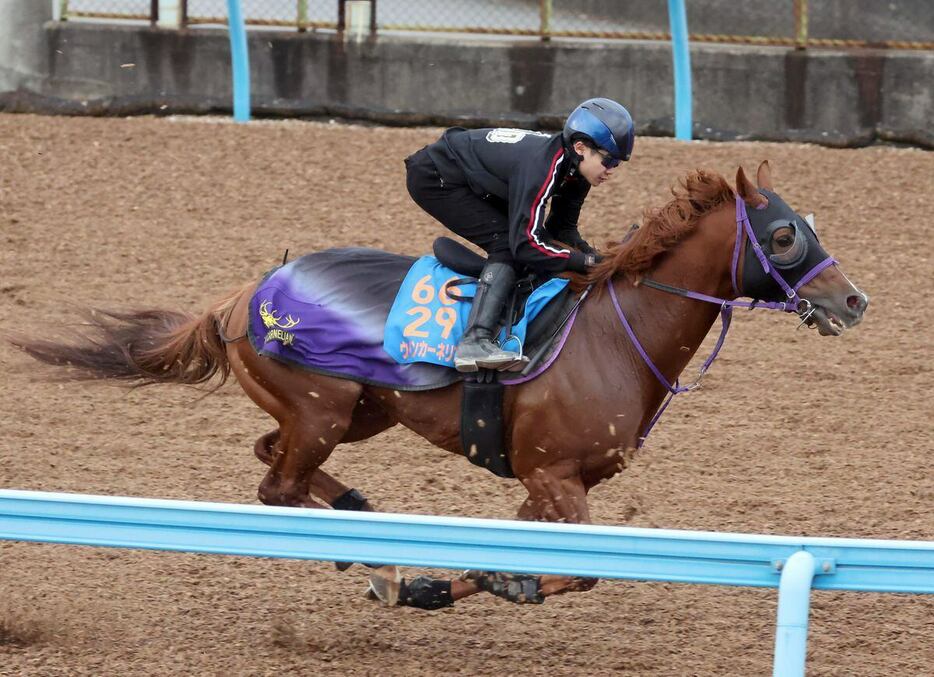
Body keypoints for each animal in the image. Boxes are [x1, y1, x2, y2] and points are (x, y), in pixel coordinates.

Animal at [12, 161, 872, 608]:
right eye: (785, 234)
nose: (853, 300)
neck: (614, 332)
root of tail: (244, 295)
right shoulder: (555, 475)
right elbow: (579, 569)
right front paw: (474, 581)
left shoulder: (550, 481)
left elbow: (509, 554)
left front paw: (446, 584)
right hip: (322, 409)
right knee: (276, 485)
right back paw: (370, 554)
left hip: (358, 412)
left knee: (269, 457)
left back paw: (369, 533)